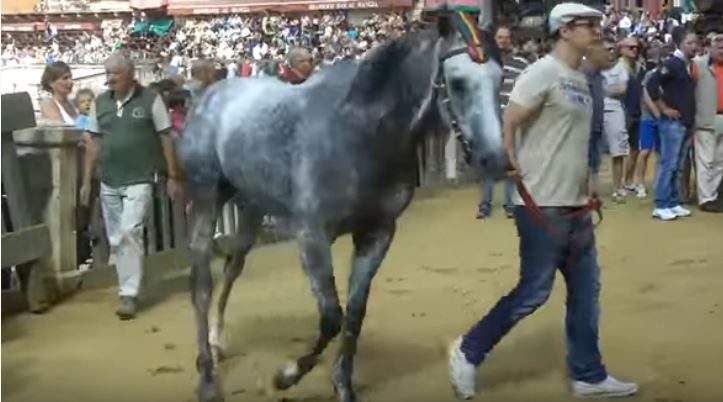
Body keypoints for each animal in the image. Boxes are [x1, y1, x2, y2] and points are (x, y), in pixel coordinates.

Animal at [176, 13, 507, 402]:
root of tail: (209, 96)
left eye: (500, 77)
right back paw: (207, 378)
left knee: (232, 267)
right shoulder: (312, 236)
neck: (359, 133)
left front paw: (342, 384)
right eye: (457, 82)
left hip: (252, 206)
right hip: (205, 197)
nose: (495, 159)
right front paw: (285, 376)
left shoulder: (377, 233)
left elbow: (354, 313)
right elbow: (332, 316)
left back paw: (217, 342)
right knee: (201, 282)